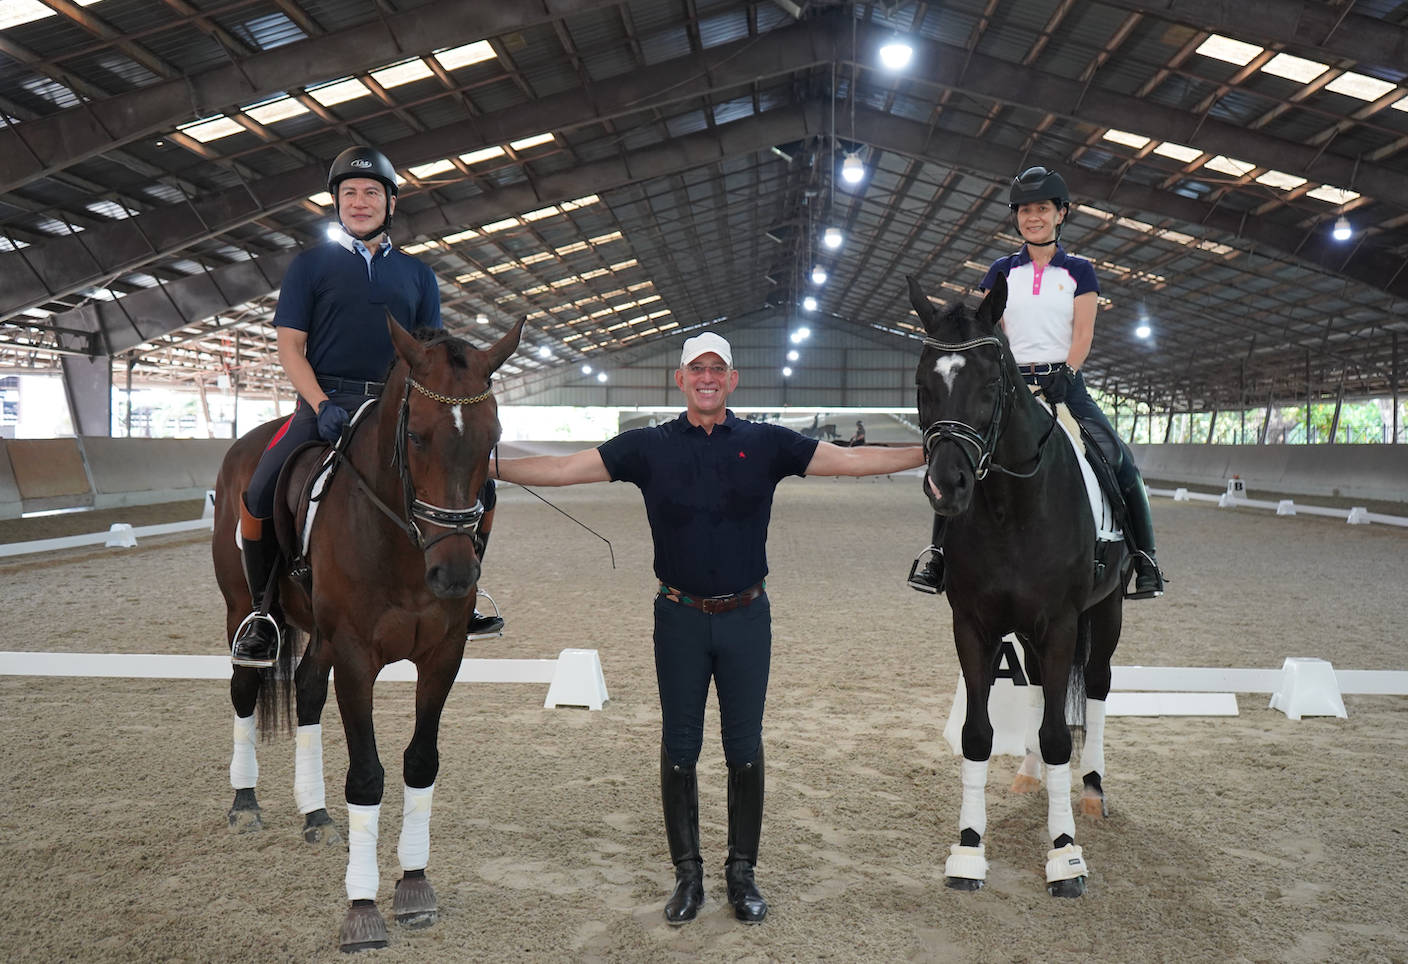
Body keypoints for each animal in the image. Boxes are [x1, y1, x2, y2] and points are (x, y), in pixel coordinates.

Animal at [214, 313, 529, 945]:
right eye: (417, 437)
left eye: (492, 438)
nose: (455, 575)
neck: (404, 544)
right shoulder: (357, 658)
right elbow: (366, 776)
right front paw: (362, 910)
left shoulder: (443, 655)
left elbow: (420, 762)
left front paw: (414, 886)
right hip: (243, 609)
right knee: (244, 687)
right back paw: (245, 804)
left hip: (322, 637)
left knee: (307, 690)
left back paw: (314, 816)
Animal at [906, 270, 1126, 895]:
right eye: (922, 384)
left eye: (989, 383)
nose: (947, 486)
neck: (1010, 506)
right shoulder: (973, 626)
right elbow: (978, 734)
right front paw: (967, 849)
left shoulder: (1063, 623)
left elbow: (1058, 735)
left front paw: (1065, 856)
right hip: (1028, 632)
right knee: (1035, 691)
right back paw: (1030, 774)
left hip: (1107, 612)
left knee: (1096, 685)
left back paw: (1093, 791)